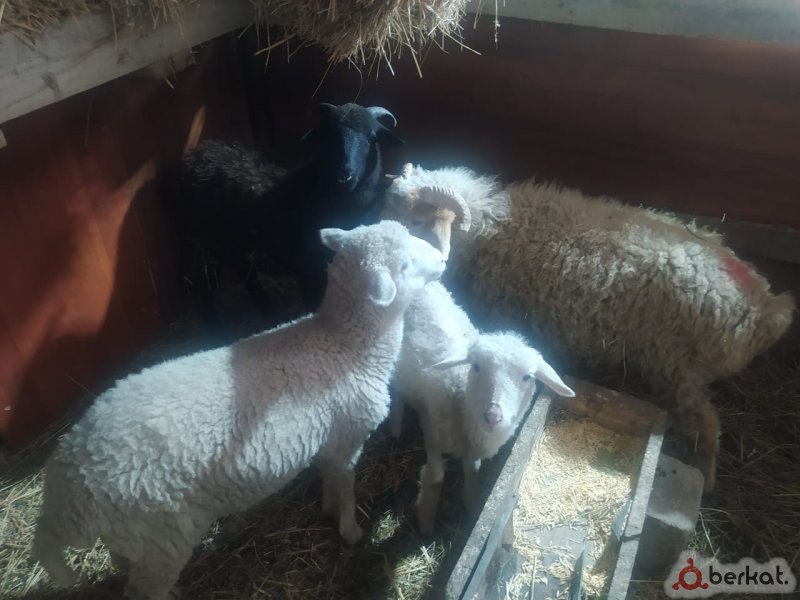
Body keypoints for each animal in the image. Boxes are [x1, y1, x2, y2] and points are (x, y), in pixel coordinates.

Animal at [32, 220, 445, 600]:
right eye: (405, 264)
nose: (442, 258)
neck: (344, 345)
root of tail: (65, 492)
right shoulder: (348, 437)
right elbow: (345, 487)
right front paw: (350, 530)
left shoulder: (329, 441)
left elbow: (328, 477)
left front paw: (327, 508)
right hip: (162, 535)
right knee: (142, 590)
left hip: (135, 539)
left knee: (124, 564)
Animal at [160, 102, 403, 326]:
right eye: (330, 136)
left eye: (371, 138)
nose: (344, 176)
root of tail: (196, 155)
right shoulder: (307, 268)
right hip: (203, 241)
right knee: (201, 283)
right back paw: (215, 327)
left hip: (236, 240)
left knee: (244, 272)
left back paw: (267, 310)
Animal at [382, 163, 795, 491]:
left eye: (416, 221)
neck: (491, 230)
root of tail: (760, 306)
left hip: (678, 369)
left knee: (707, 428)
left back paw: (706, 483)